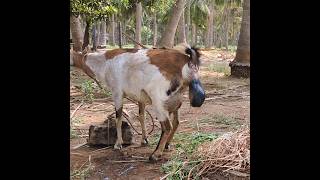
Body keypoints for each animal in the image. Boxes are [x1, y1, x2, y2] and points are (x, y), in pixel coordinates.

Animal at [70, 45, 205, 162]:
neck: (104, 62)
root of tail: (186, 60)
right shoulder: (140, 96)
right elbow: (141, 116)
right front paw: (144, 140)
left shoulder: (117, 91)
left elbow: (119, 118)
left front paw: (118, 144)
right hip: (176, 98)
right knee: (176, 122)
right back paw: (166, 145)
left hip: (158, 99)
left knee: (167, 126)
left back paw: (155, 154)